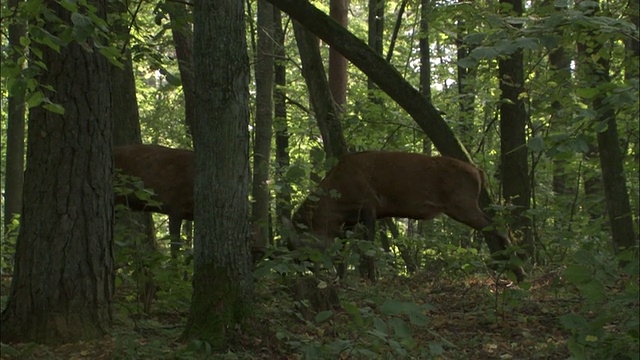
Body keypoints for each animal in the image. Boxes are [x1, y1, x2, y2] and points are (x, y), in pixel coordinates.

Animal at [284, 150, 524, 282]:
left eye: (296, 243)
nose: (297, 266)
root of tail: (479, 172)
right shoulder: (349, 220)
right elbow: (344, 249)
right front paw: (342, 278)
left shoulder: (369, 205)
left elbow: (368, 246)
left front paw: (372, 278)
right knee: (492, 226)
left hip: (462, 203)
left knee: (496, 225)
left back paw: (518, 271)